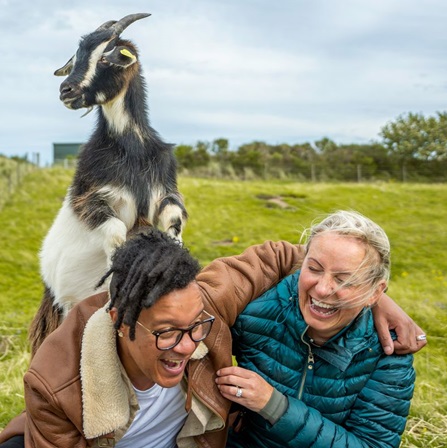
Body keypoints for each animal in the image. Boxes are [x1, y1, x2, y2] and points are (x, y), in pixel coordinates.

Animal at [29, 12, 187, 356]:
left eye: (106, 57)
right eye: (75, 57)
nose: (66, 90)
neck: (132, 149)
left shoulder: (165, 187)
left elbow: (173, 214)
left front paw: (174, 243)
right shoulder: (90, 197)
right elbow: (113, 228)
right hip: (60, 311)